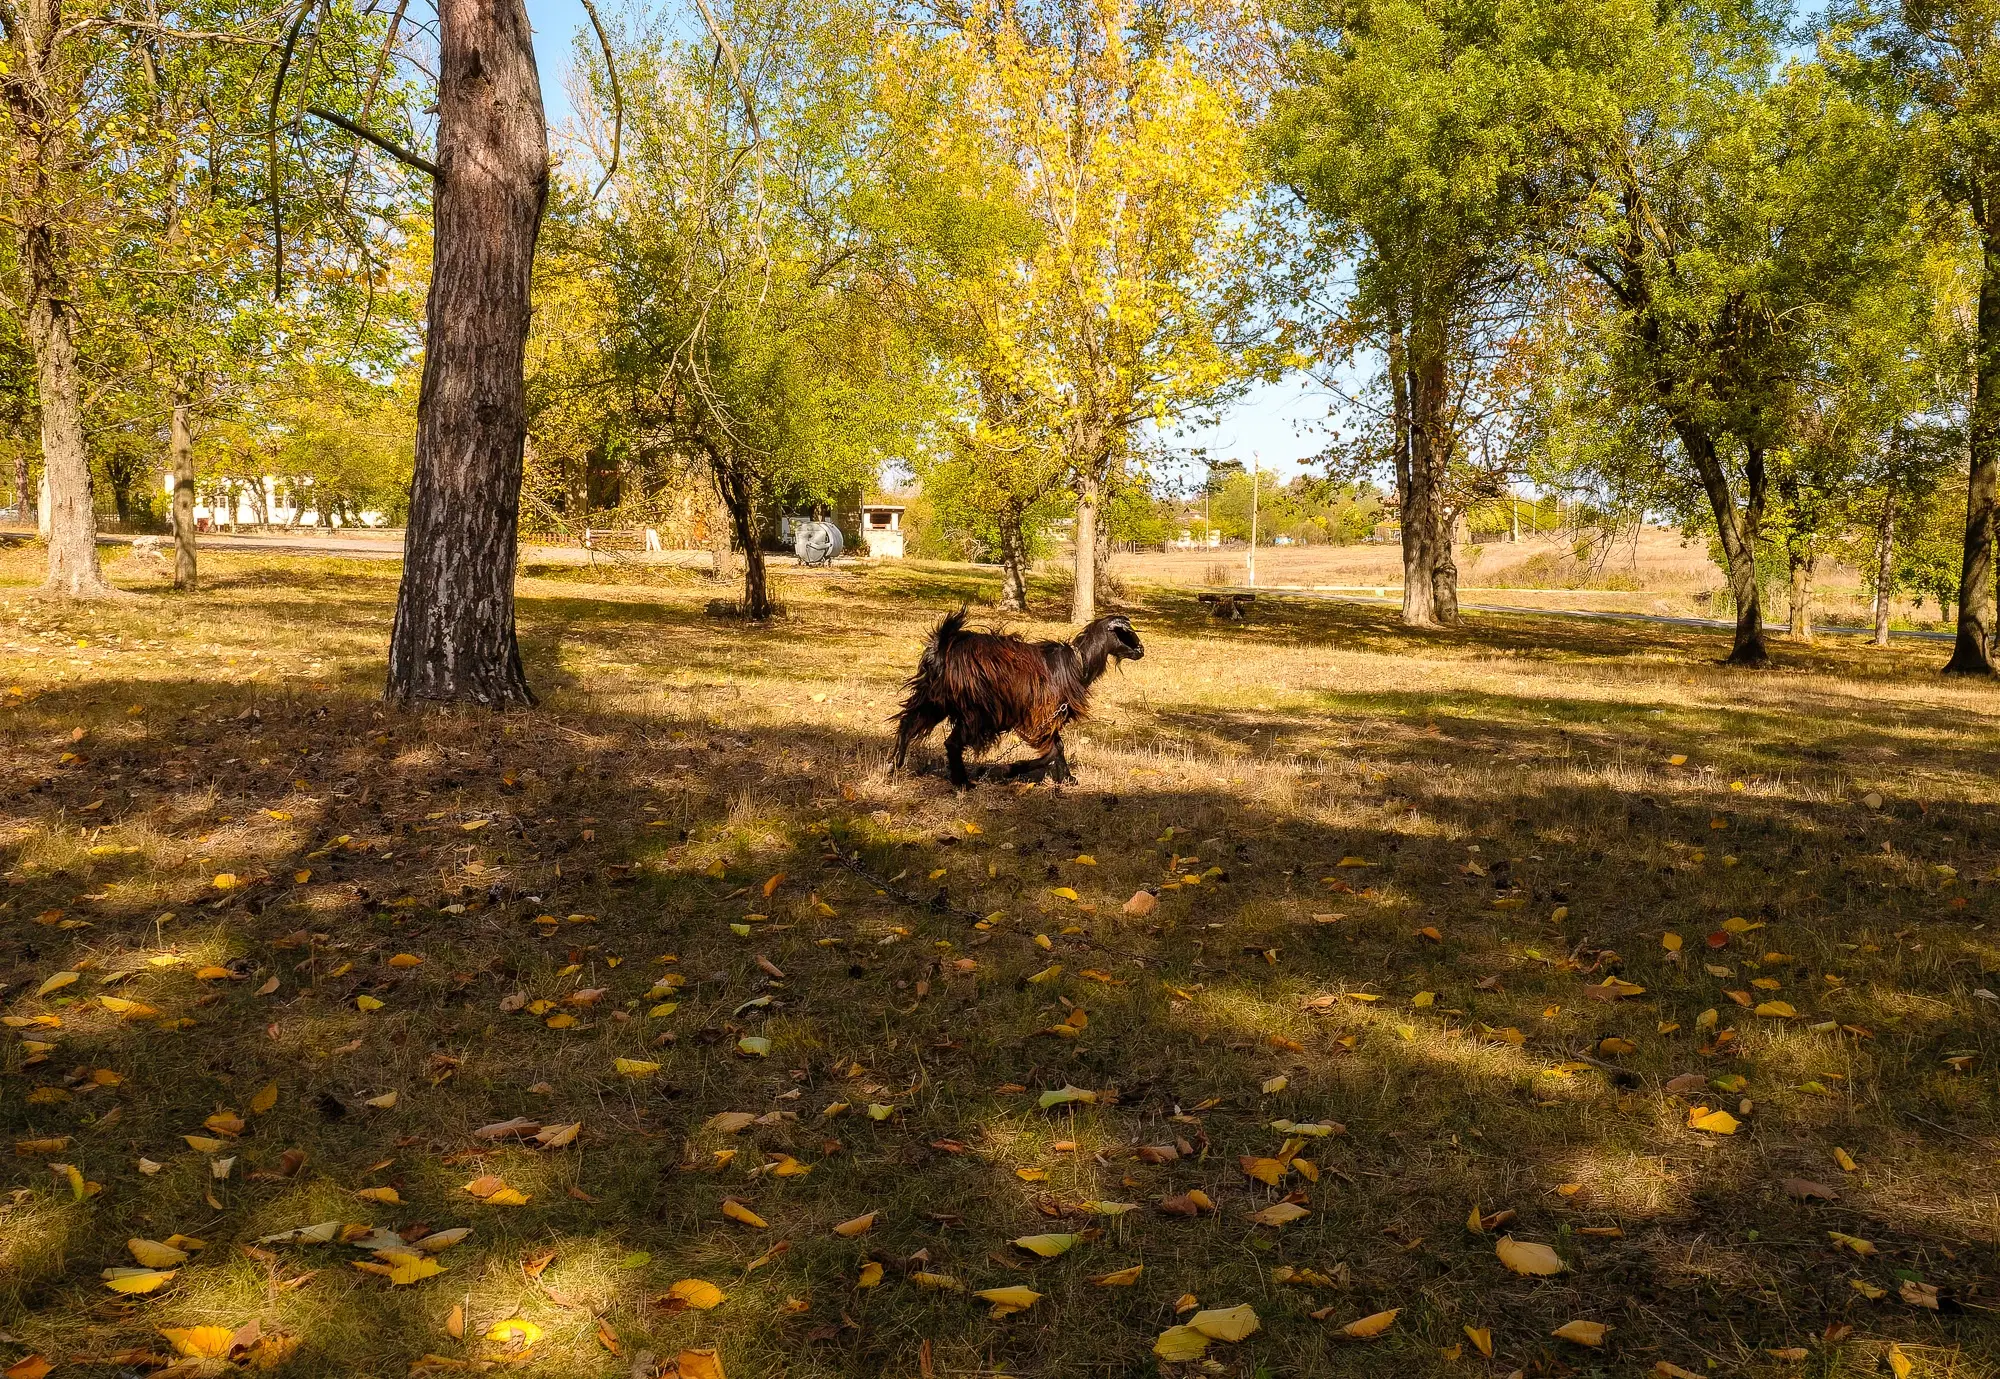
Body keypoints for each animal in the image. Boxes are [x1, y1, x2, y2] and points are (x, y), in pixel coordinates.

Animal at [888, 603, 1144, 783]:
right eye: (1125, 633)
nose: (1141, 650)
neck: (1077, 664)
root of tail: (943, 646)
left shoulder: (1051, 715)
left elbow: (1058, 748)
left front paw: (1067, 779)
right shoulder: (1040, 715)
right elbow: (1052, 752)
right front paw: (1010, 769)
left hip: (934, 699)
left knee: (908, 724)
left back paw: (895, 766)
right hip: (976, 711)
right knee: (951, 742)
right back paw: (963, 783)